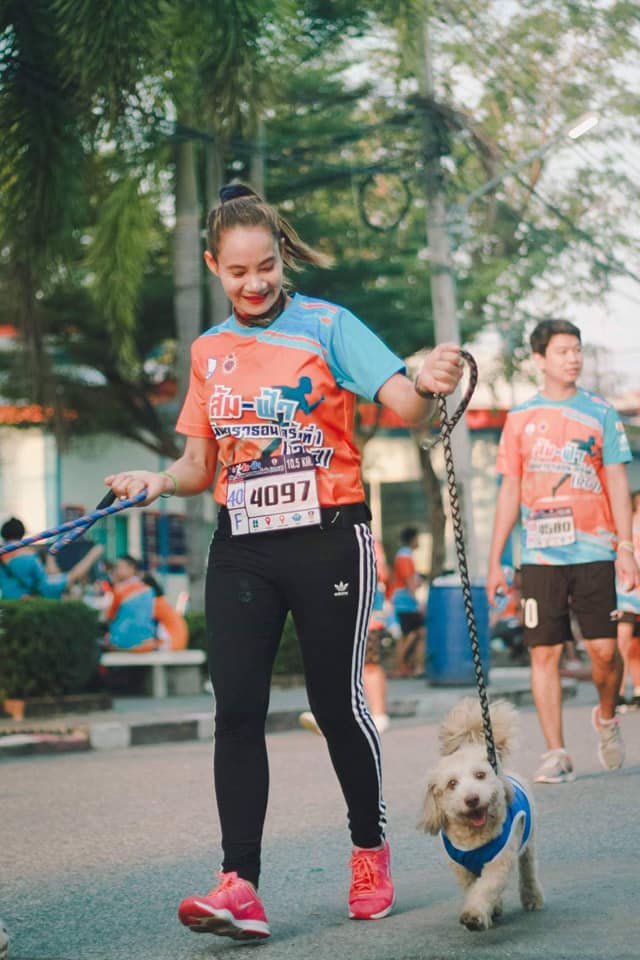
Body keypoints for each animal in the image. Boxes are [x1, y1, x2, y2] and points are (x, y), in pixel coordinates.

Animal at [420, 696, 544, 928]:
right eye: (452, 784)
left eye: (480, 775)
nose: (472, 799)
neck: (474, 838)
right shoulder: (462, 868)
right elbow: (474, 888)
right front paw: (488, 910)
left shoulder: (500, 860)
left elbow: (487, 887)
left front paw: (475, 915)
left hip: (528, 839)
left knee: (528, 869)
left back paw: (532, 898)